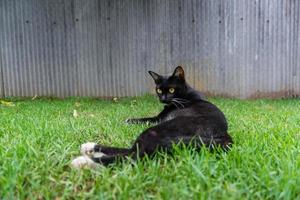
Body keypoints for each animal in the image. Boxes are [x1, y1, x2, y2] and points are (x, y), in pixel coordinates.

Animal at [71, 66, 233, 168]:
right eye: (159, 90)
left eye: (172, 89)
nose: (163, 99)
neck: (185, 94)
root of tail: (224, 136)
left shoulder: (158, 119)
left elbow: (144, 118)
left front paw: (128, 120)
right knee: (133, 150)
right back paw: (89, 148)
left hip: (159, 129)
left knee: (133, 155)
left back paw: (84, 162)